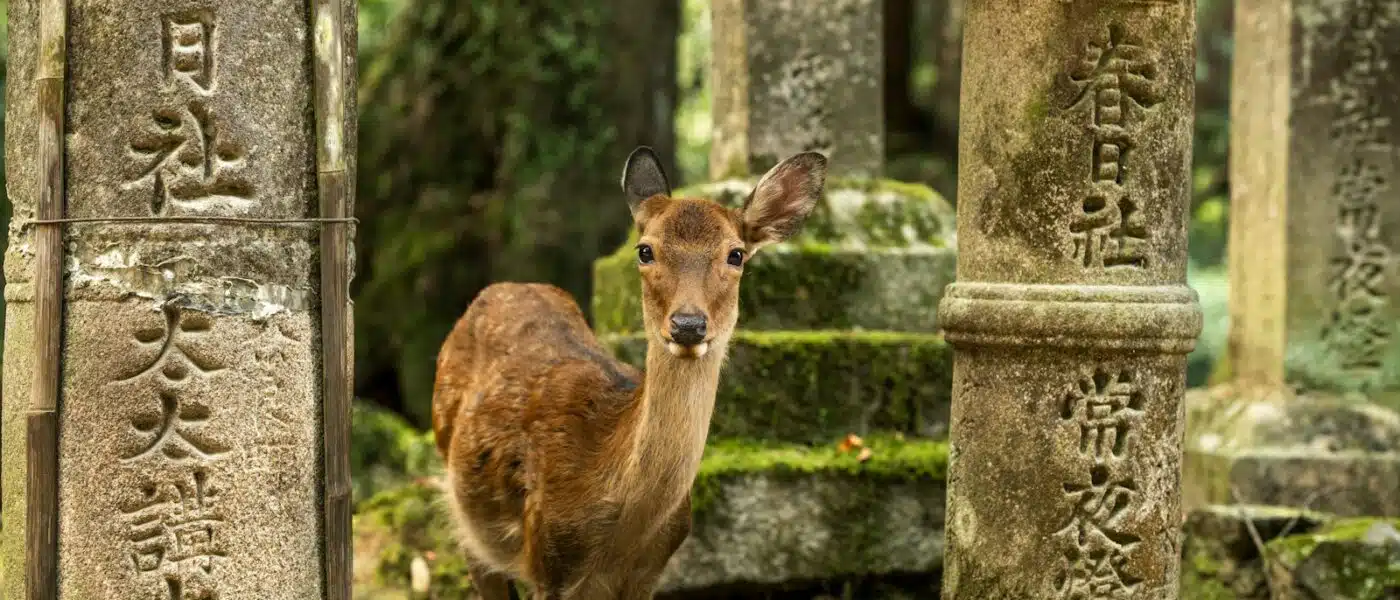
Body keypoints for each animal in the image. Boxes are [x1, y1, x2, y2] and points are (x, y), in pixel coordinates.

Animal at [429, 146, 827, 599]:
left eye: (736, 254)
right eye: (644, 250)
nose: (688, 324)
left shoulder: (649, 573)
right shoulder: (546, 559)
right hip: (463, 512)